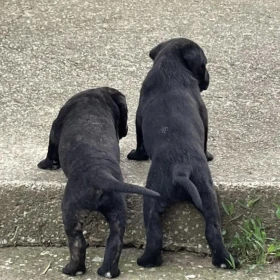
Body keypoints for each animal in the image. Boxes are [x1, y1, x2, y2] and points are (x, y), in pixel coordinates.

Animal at [38, 88, 160, 278]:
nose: (125, 130)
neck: (97, 97)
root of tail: (100, 175)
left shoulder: (56, 126)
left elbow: (51, 148)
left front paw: (46, 164)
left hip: (70, 211)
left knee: (78, 243)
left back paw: (73, 270)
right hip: (117, 211)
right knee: (114, 242)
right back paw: (108, 272)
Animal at [127, 38, 238, 270]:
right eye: (204, 64)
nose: (208, 78)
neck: (171, 64)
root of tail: (181, 169)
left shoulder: (139, 115)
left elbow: (140, 141)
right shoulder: (203, 114)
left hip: (153, 197)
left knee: (154, 233)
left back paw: (147, 261)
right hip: (206, 194)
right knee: (213, 230)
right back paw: (225, 261)